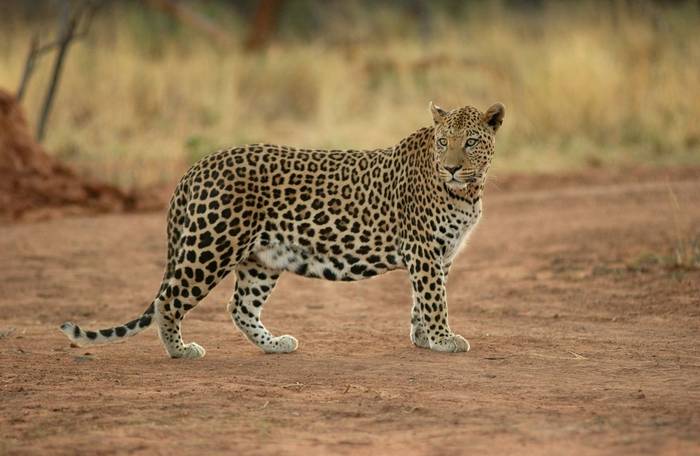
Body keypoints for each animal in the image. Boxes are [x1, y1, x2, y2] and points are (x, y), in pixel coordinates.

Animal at [60, 101, 505, 359]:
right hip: (211, 245)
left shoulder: (440, 254)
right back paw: (180, 350)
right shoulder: (424, 250)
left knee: (239, 306)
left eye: (470, 142)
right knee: (168, 300)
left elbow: (422, 299)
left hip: (261, 259)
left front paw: (424, 337)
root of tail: (196, 168)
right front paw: (444, 339)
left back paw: (274, 345)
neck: (468, 190)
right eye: (444, 141)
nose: (451, 167)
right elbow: (434, 298)